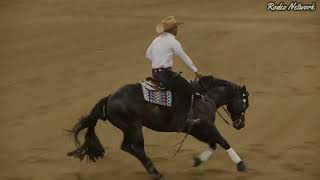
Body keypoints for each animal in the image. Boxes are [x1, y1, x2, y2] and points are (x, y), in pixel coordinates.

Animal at [66, 75, 249, 179]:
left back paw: (153, 170)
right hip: (134, 127)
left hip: (128, 128)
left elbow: (213, 144)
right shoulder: (206, 126)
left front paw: (197, 160)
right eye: (245, 102)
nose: (241, 124)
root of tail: (109, 98)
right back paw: (155, 172)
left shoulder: (196, 130)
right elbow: (223, 142)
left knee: (127, 147)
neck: (205, 97)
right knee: (136, 148)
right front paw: (241, 165)